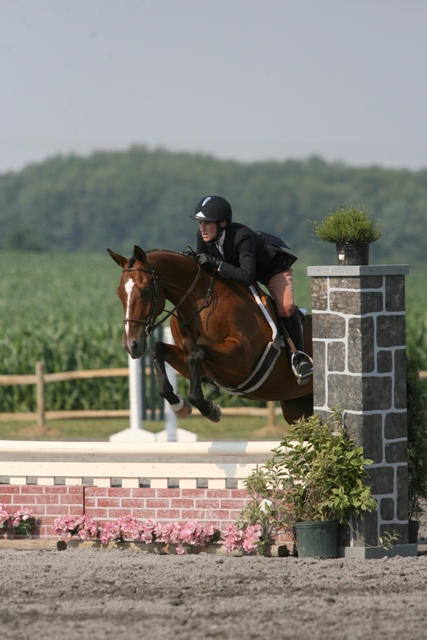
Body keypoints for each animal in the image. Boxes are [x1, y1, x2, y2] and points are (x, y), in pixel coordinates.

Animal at [108, 245, 314, 424]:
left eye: (145, 291)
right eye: (118, 293)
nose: (131, 345)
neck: (198, 306)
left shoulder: (243, 359)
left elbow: (197, 352)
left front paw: (209, 408)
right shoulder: (186, 359)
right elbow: (157, 348)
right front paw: (179, 406)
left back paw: (301, 364)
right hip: (297, 407)